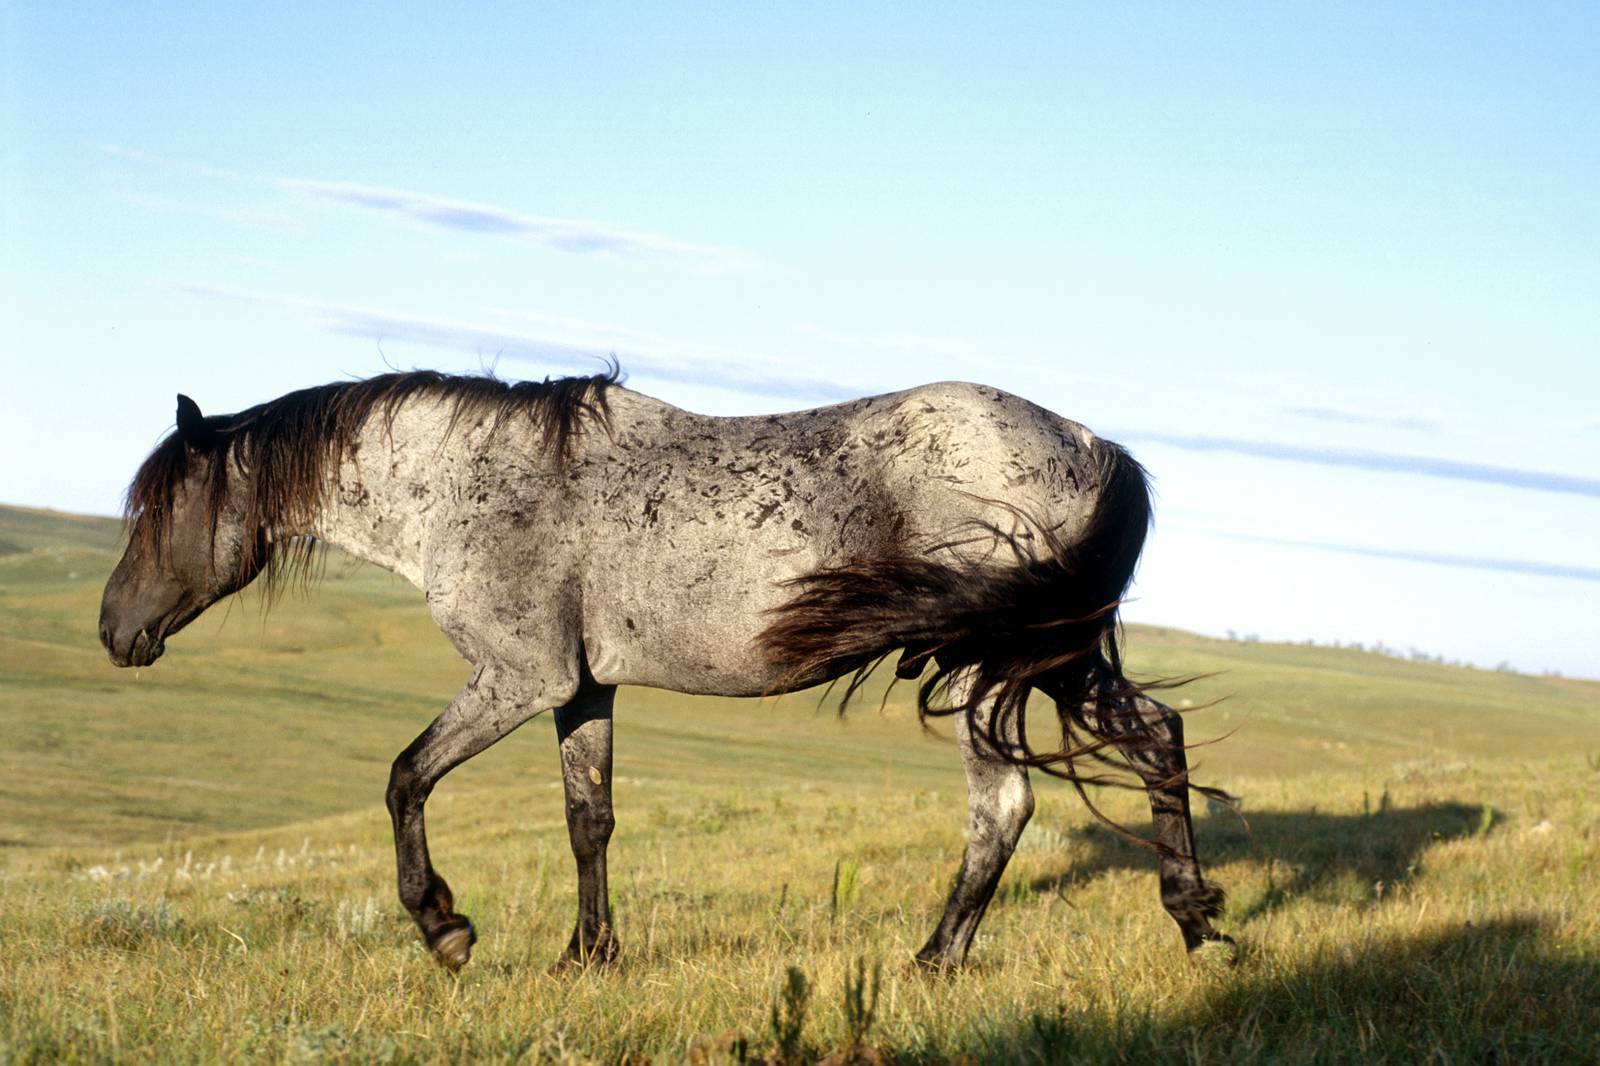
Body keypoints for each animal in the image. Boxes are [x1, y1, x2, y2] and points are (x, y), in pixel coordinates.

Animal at [99, 366, 1231, 972]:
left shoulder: (520, 681)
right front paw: (586, 954)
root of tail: (1096, 446)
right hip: (1034, 661)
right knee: (1129, 750)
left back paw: (952, 958)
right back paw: (1179, 923)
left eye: (160, 510)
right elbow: (587, 820)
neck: (469, 485)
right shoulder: (584, 690)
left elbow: (405, 777)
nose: (114, 632)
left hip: (992, 668)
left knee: (1018, 798)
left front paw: (445, 927)